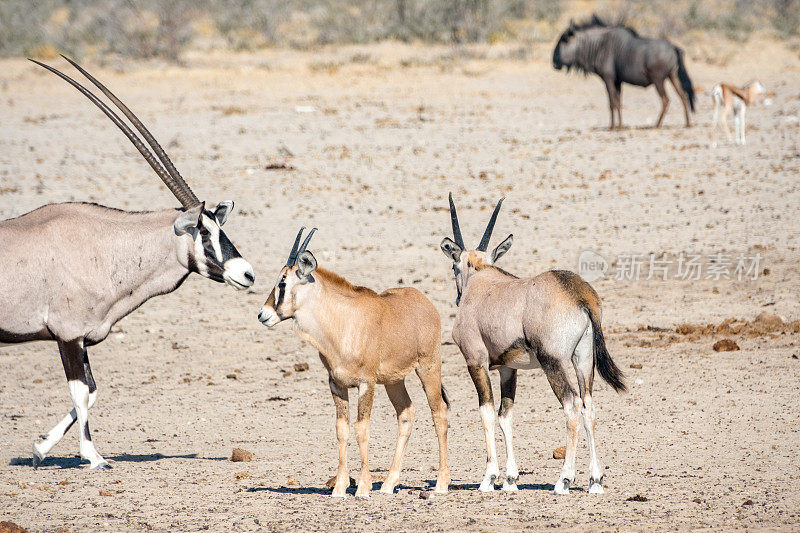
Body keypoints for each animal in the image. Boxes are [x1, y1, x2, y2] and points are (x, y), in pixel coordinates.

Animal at [0, 56, 253, 468]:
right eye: (202, 231)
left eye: (219, 227)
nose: (246, 274)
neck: (101, 246)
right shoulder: (68, 335)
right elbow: (80, 392)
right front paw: (93, 456)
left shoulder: (83, 337)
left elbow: (92, 391)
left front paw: (40, 448)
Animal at [258, 227, 450, 496]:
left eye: (283, 282)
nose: (263, 315)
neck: (341, 322)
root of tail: (424, 301)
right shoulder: (337, 384)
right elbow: (342, 430)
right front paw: (339, 487)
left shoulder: (365, 384)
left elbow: (361, 429)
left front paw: (362, 487)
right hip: (394, 381)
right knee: (406, 413)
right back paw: (389, 483)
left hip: (428, 368)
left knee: (439, 413)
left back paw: (441, 483)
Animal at [440, 194, 628, 494]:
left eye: (453, 266)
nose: (458, 299)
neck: (480, 277)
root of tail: (578, 292)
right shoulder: (508, 368)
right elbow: (505, 415)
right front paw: (510, 479)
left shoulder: (476, 362)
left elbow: (486, 412)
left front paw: (489, 478)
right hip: (583, 360)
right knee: (588, 405)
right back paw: (595, 480)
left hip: (554, 362)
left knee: (571, 406)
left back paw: (564, 480)